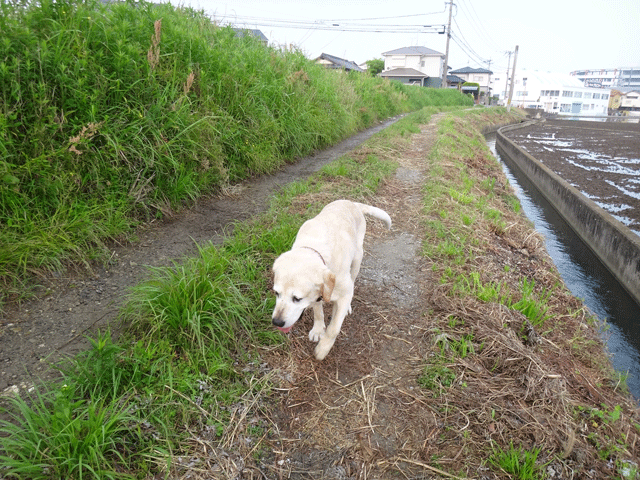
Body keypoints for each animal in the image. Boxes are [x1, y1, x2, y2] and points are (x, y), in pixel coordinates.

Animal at [270, 199, 390, 360]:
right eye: (276, 293)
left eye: (297, 299)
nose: (276, 322)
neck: (315, 250)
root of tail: (352, 203)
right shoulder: (317, 295)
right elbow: (318, 311)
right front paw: (318, 330)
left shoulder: (343, 294)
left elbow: (333, 328)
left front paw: (322, 349)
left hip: (357, 259)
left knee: (353, 280)